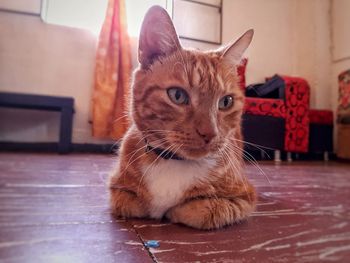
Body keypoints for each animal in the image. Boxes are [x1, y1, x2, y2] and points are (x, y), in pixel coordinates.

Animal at [109, 5, 258, 230]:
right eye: (177, 95)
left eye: (226, 102)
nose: (210, 133)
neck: (174, 162)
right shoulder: (117, 190)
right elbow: (134, 205)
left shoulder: (243, 197)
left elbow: (197, 211)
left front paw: (173, 209)